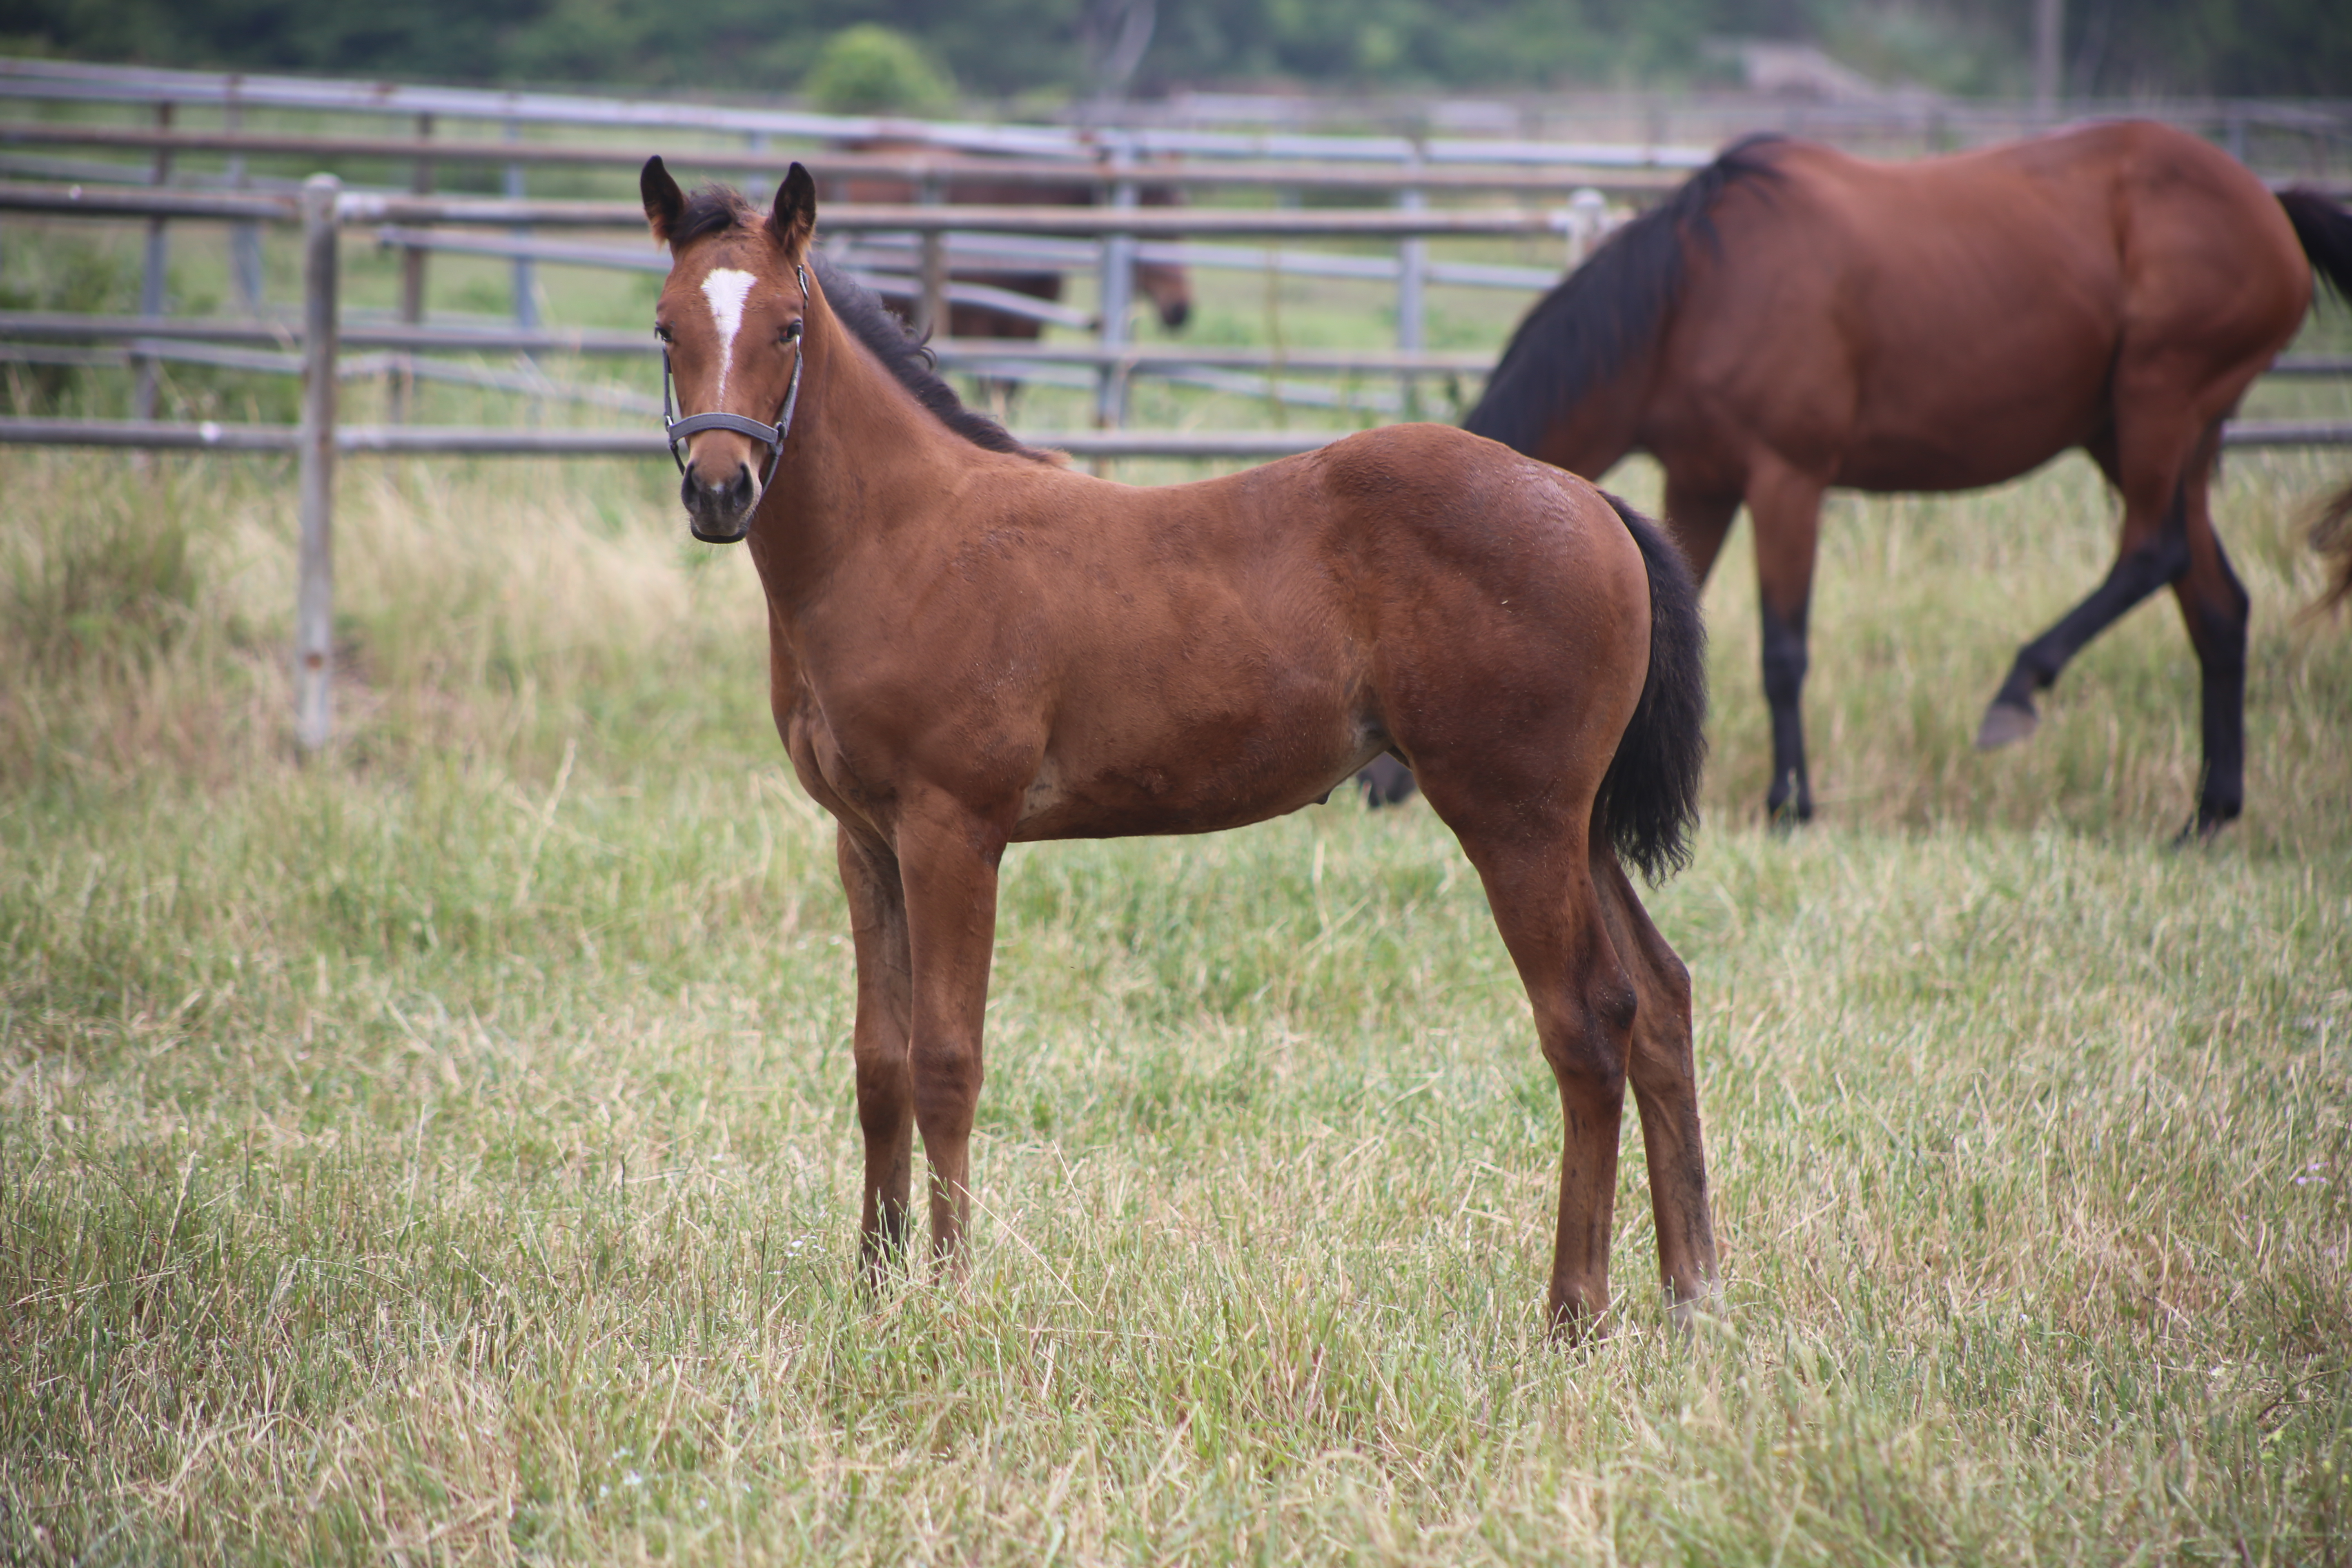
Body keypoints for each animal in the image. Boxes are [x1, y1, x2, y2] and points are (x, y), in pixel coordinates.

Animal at [635, 160, 1722, 1335]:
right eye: (665, 327)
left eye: (788, 327)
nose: (719, 490)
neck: (906, 537)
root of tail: (1595, 504)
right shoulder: (865, 842)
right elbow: (878, 1067)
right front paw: (875, 1288)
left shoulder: (952, 831)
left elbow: (945, 1062)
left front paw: (949, 1294)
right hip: (1578, 825)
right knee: (1660, 1001)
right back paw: (1692, 1292)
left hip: (1515, 819)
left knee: (1587, 1025)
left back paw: (1574, 1312)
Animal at [1468, 121, 2352, 842]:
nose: (1392, 781)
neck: (1694, 293)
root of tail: (2270, 205)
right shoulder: (1702, 484)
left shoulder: (1787, 478)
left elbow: (1783, 651)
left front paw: (1790, 807)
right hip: (2160, 435)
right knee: (2217, 608)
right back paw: (2205, 817)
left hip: (2157, 406)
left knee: (2152, 552)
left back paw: (2018, 693)